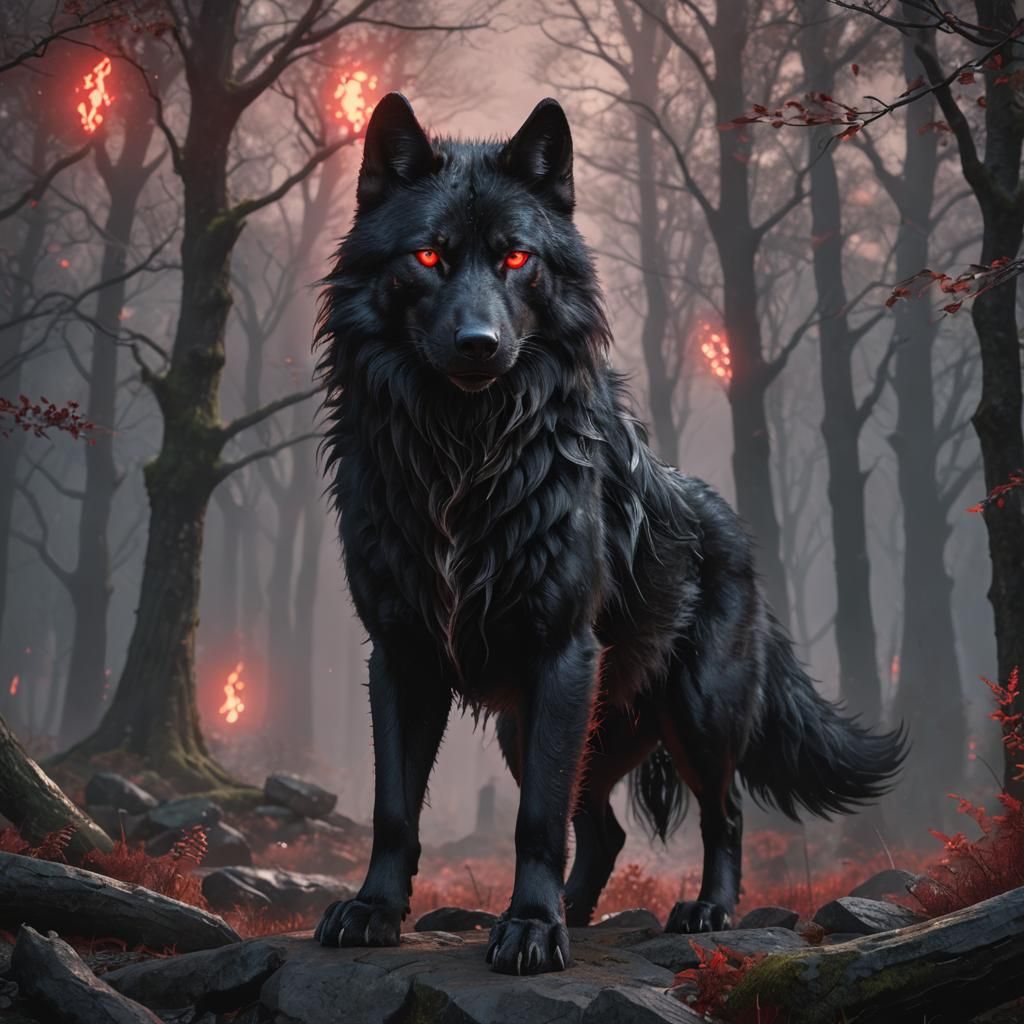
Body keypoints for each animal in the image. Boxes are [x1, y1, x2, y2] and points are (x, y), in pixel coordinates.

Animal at [313, 93, 904, 976]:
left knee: (722, 814)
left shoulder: (562, 653)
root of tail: (734, 528)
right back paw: (576, 912)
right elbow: (395, 809)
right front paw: (375, 911)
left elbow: (533, 822)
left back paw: (702, 911)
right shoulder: (401, 653)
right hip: (532, 730)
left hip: (693, 715)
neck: (463, 454)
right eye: (428, 256)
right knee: (604, 828)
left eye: (516, 259)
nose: (480, 345)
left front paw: (529, 930)